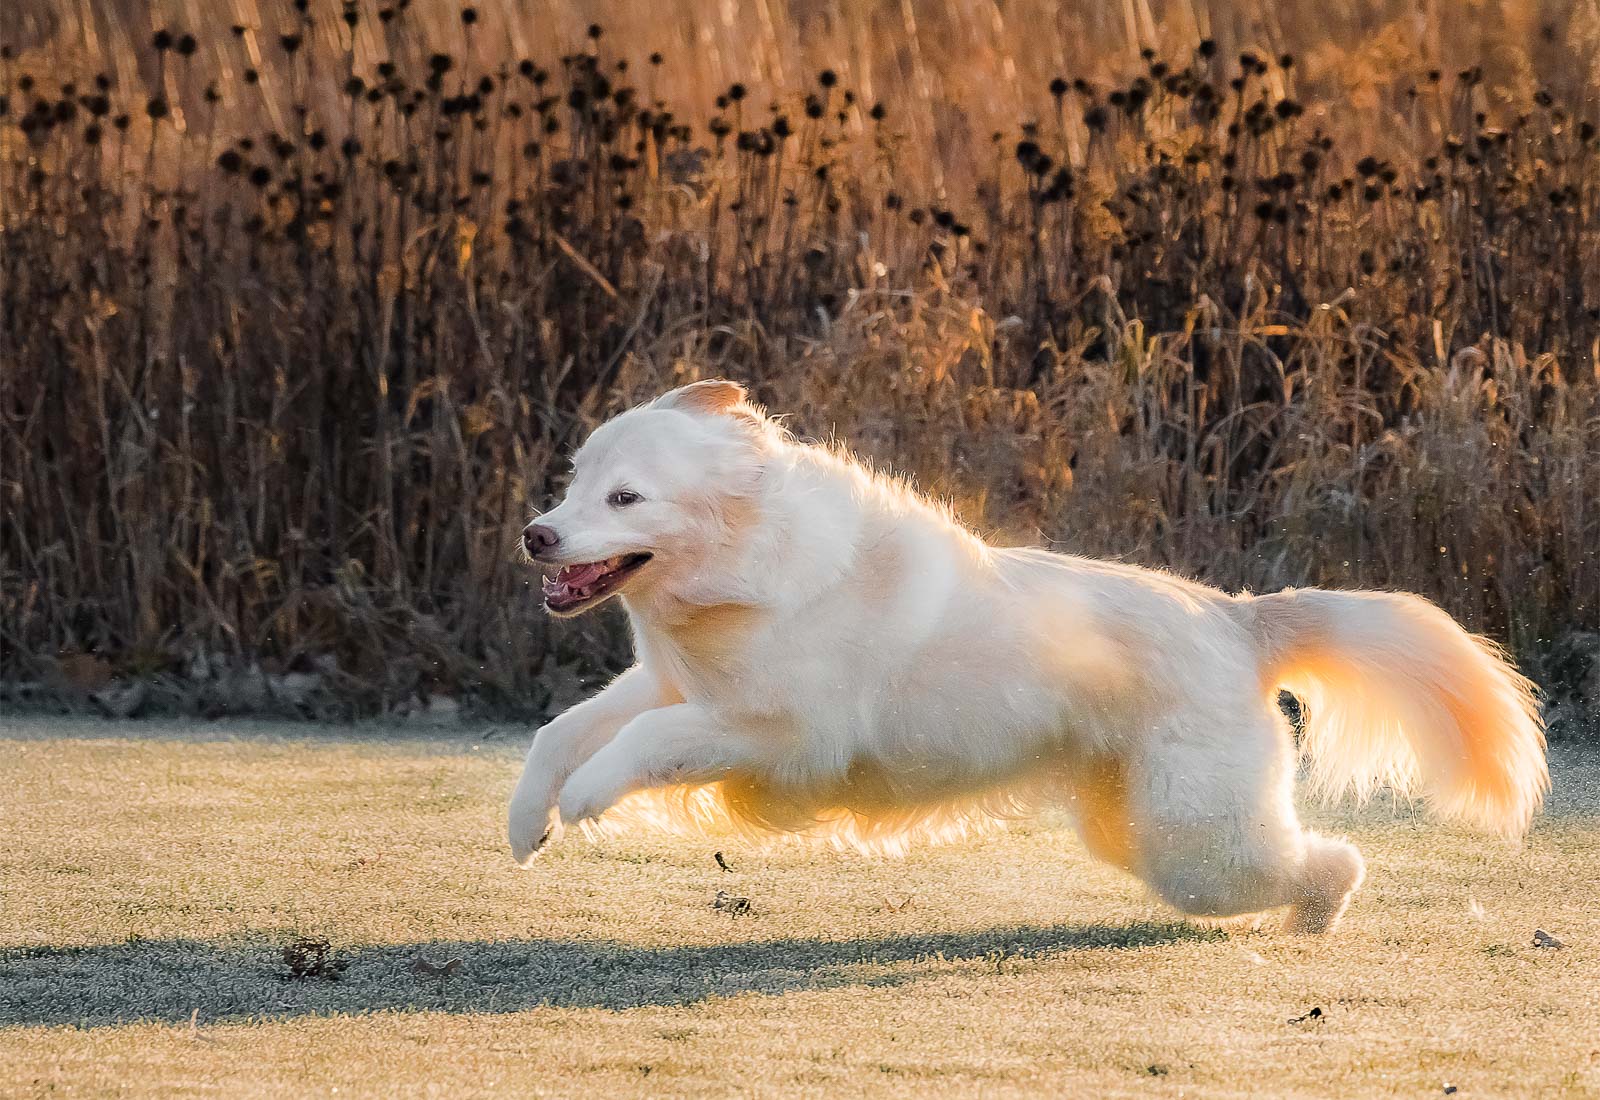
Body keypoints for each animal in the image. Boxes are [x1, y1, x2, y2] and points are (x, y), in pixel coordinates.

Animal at [505, 382, 1542, 933]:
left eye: (628, 498)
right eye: (575, 480)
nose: (536, 534)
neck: (748, 567)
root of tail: (1237, 619)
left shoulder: (779, 733)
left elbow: (641, 744)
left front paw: (588, 800)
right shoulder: (668, 682)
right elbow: (564, 731)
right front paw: (527, 823)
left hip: (1199, 847)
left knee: (1334, 862)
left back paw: (1311, 923)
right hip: (1144, 835)